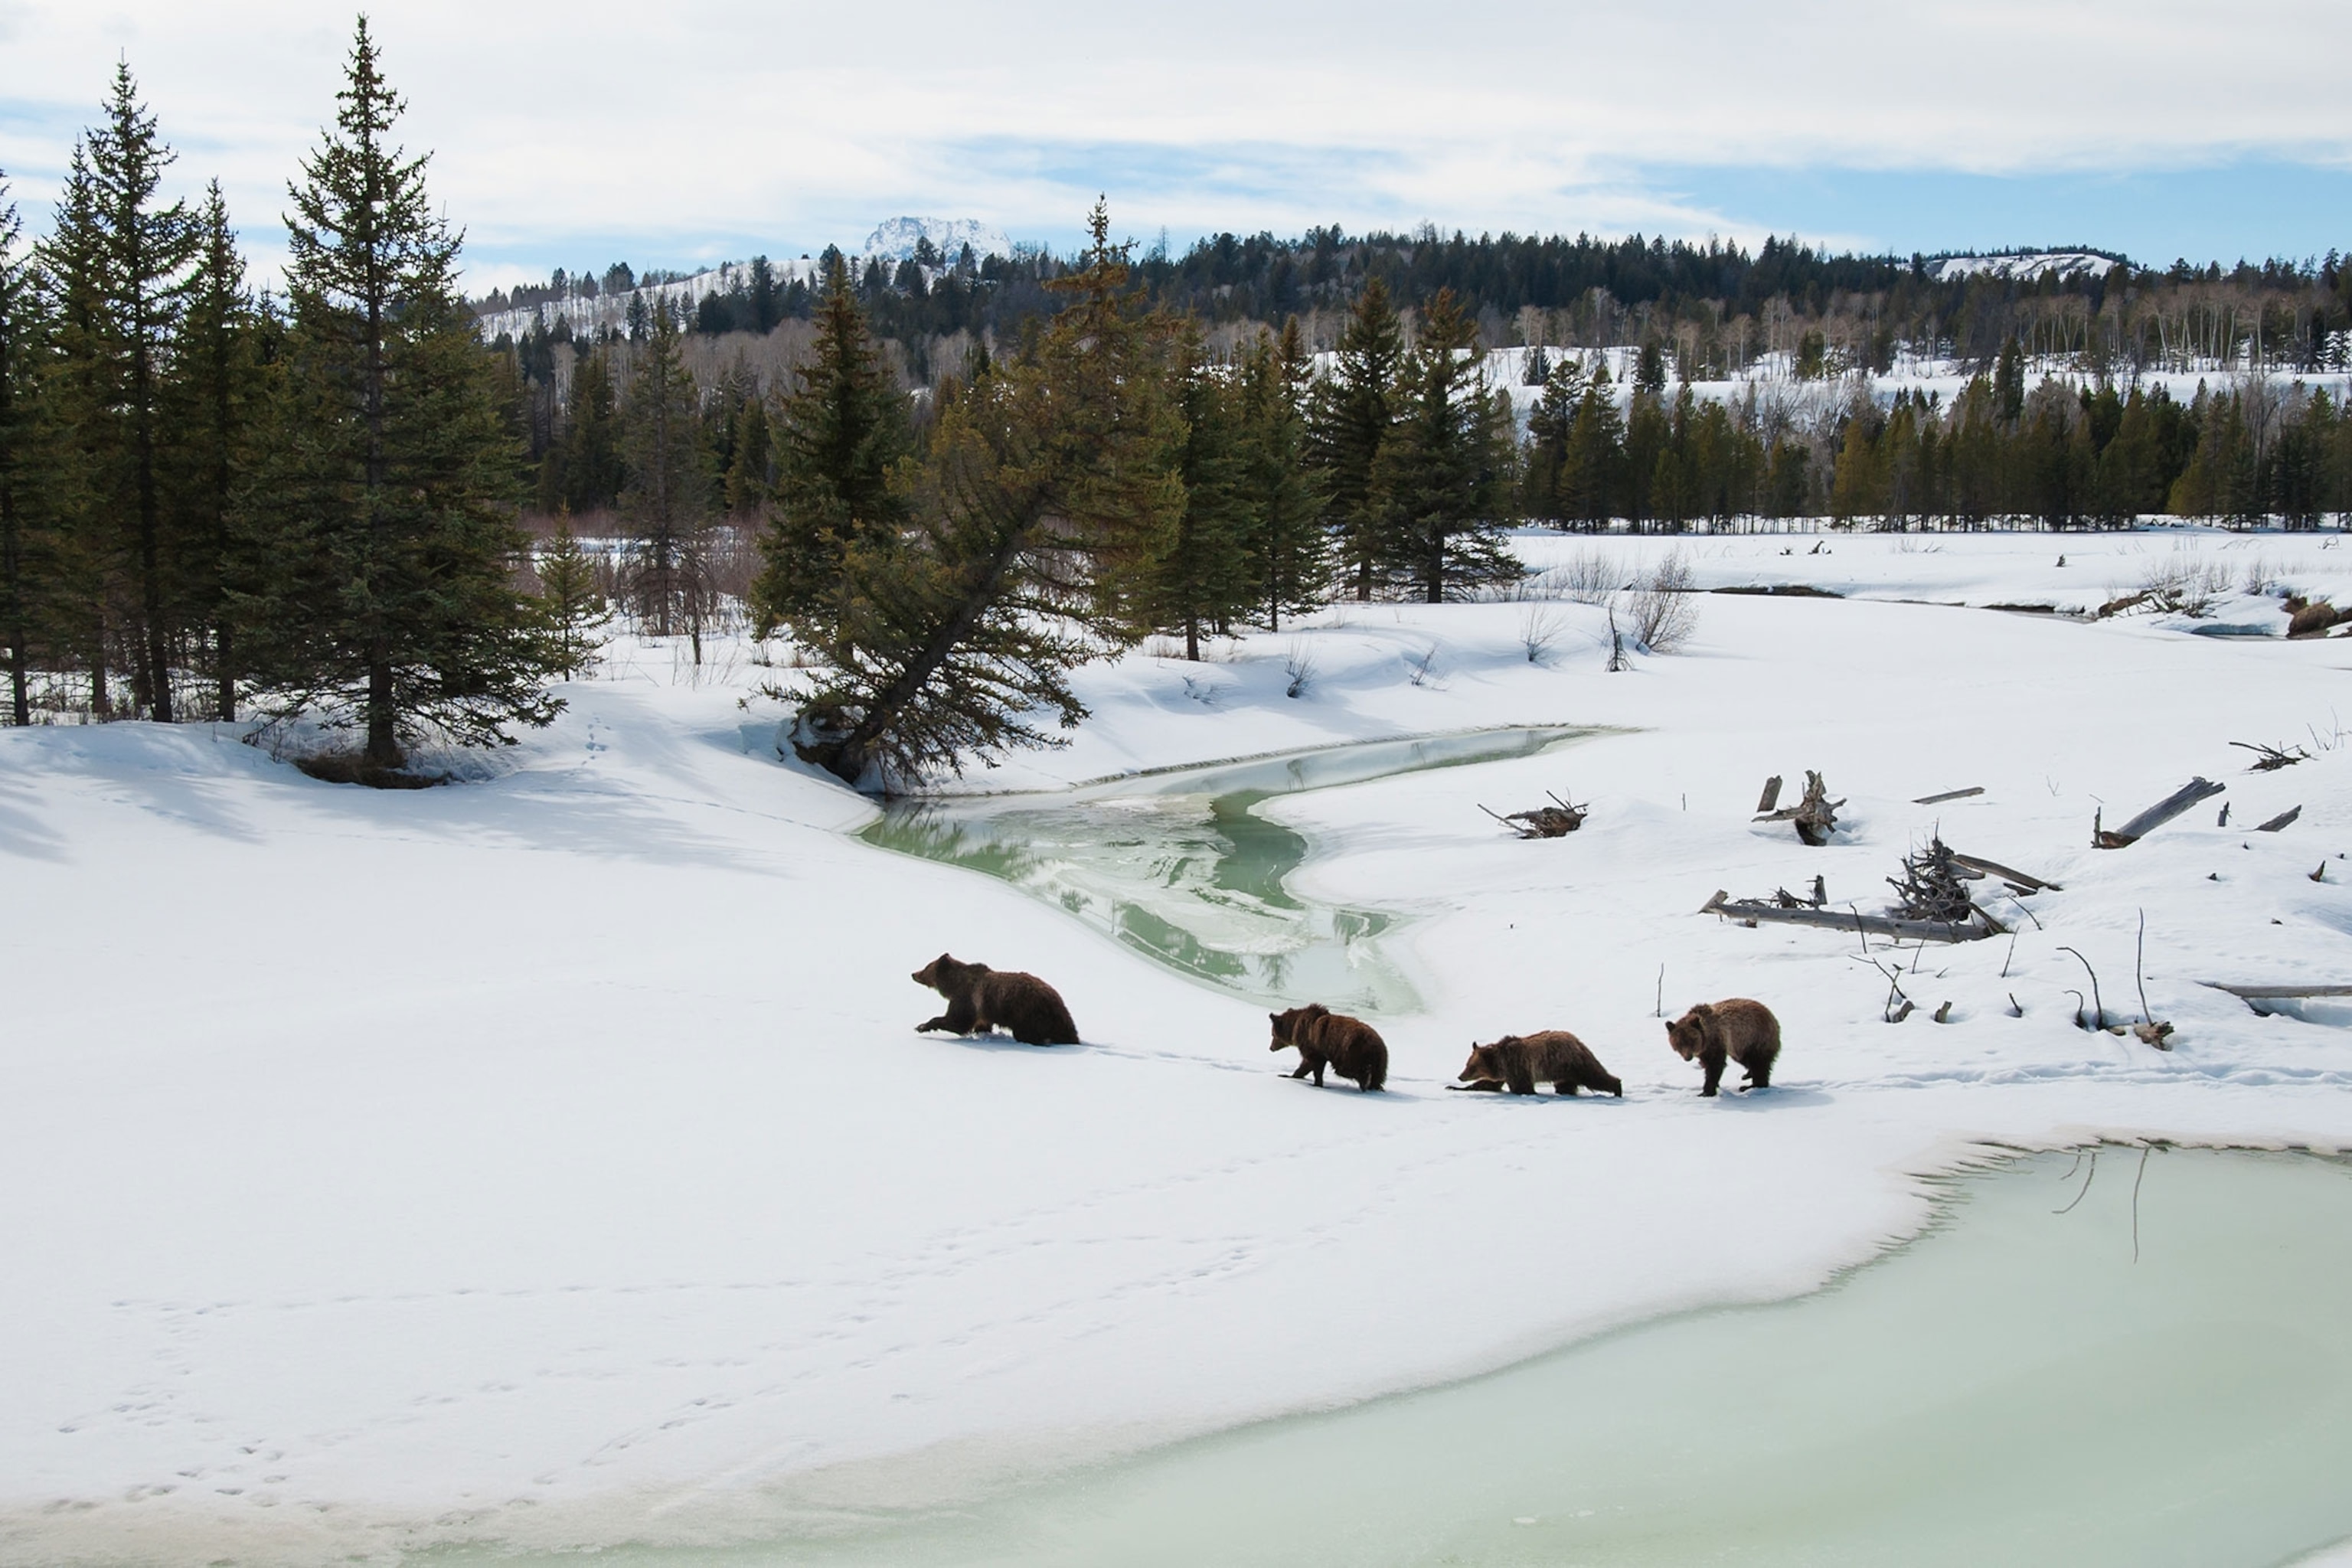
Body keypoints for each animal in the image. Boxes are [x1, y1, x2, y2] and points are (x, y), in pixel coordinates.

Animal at [911, 954, 1081, 1046]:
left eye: (926, 967)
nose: (913, 973)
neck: (953, 986)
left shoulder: (967, 999)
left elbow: (958, 1022)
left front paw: (922, 1026)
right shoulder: (982, 1010)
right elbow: (981, 1024)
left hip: (1028, 1014)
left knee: (1026, 1033)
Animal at [1268, 1003, 1387, 1092]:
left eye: (1273, 1034)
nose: (1271, 1048)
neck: (1295, 1028)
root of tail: (1378, 1044)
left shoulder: (1313, 1045)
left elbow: (1314, 1063)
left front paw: (1317, 1083)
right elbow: (1306, 1064)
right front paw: (1290, 1075)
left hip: (1350, 1052)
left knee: (1347, 1070)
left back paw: (1365, 1081)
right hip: (1378, 1060)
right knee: (1377, 1077)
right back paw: (1375, 1087)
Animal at [1458, 1031, 1623, 1097]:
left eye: (1471, 1066)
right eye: (1467, 1064)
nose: (1460, 1076)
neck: (1499, 1062)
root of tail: (1578, 1042)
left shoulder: (1517, 1066)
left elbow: (1522, 1087)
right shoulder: (1506, 1073)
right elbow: (1490, 1084)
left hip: (1572, 1064)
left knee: (1595, 1077)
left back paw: (1617, 1089)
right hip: (1563, 1072)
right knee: (1566, 1086)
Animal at [1664, 998, 1781, 1096]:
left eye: (1692, 1040)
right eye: (1679, 1043)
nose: (1688, 1057)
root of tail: (1772, 1016)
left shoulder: (1717, 1043)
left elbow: (1714, 1066)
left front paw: (1706, 1092)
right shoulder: (1705, 1051)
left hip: (1756, 1037)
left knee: (1759, 1063)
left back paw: (1750, 1086)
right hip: (1741, 1046)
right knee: (1745, 1060)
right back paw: (1747, 1075)